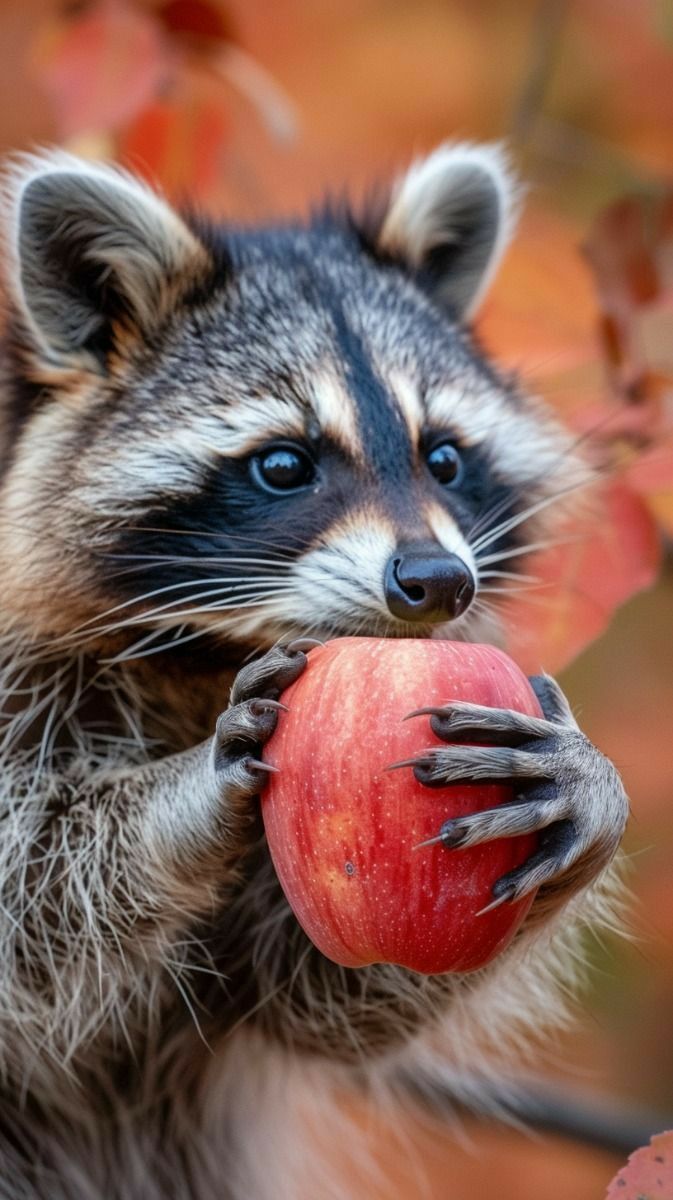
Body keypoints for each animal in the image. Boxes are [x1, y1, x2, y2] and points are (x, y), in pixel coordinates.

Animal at [0, 145, 623, 1195]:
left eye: (442, 457)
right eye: (284, 465)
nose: (436, 581)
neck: (209, 650)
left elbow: (310, 989)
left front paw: (585, 791)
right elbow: (21, 887)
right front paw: (181, 797)